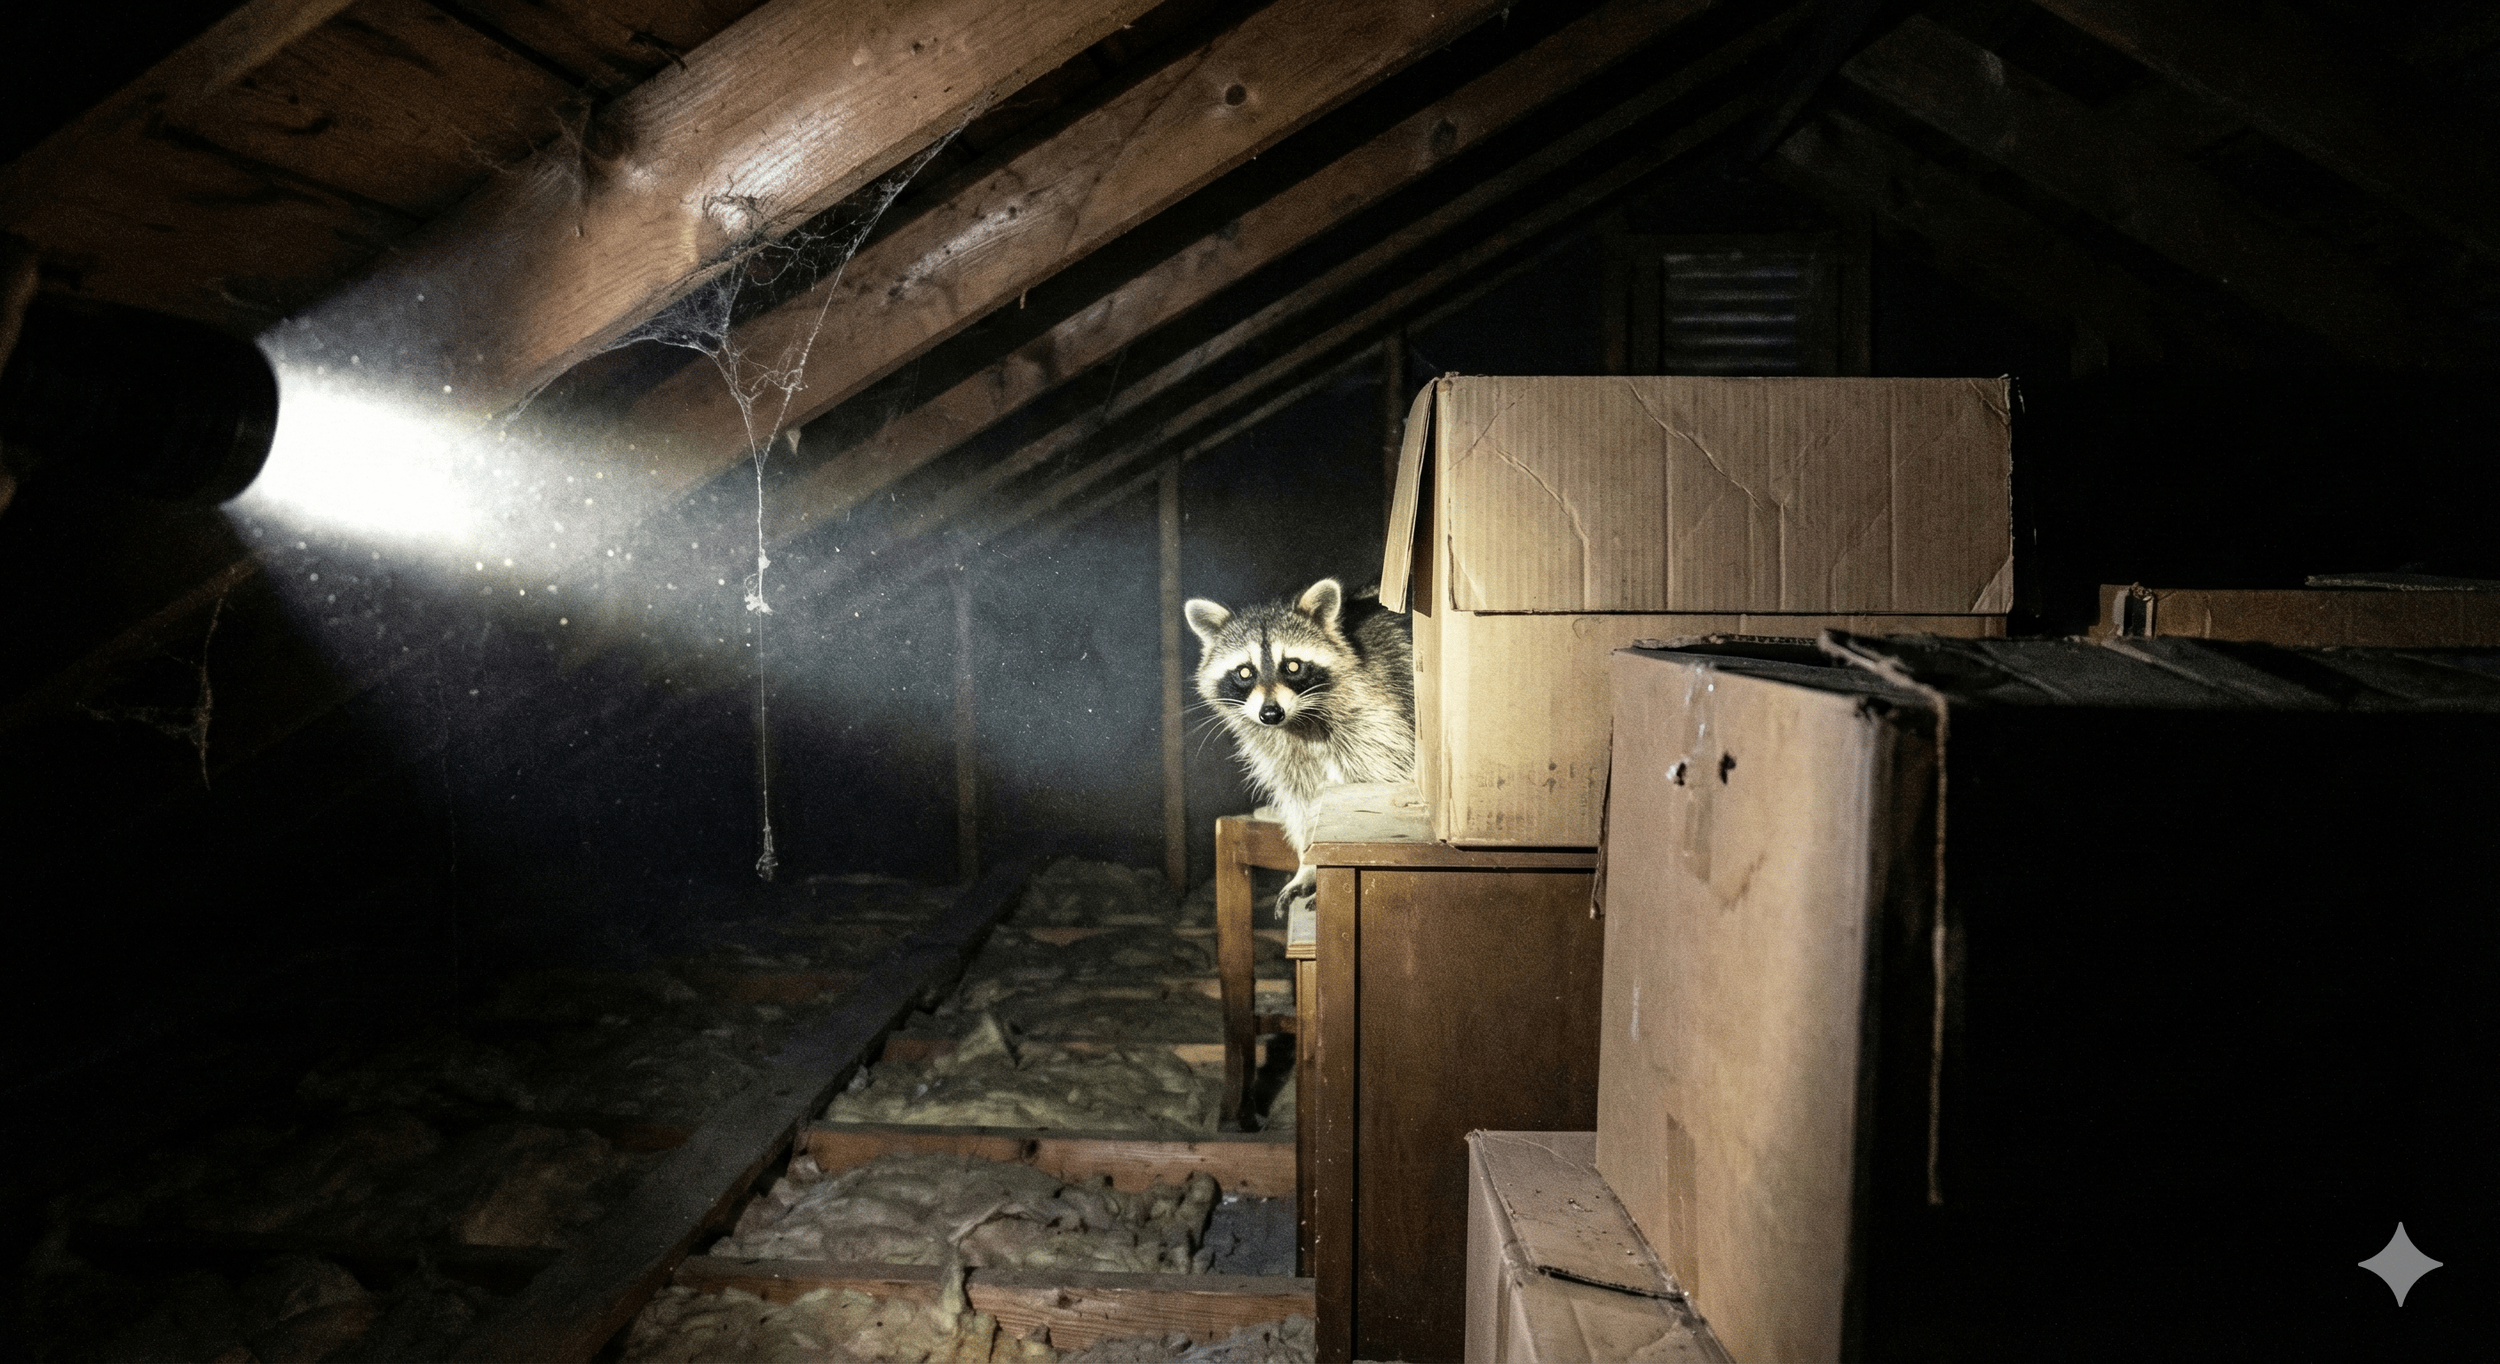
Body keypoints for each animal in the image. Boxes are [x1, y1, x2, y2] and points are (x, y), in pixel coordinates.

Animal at [1185, 577, 1416, 914]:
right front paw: (1307, 866)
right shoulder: (1281, 753)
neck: (1296, 722)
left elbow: (1375, 791)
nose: (1270, 713)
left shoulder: (1378, 719)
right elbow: (1300, 800)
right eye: (1245, 672)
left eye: (1292, 667)